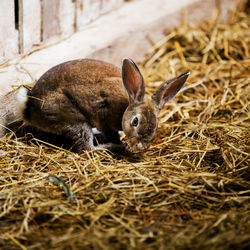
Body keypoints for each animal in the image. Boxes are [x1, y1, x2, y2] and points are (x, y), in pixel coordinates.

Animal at [15, 58, 189, 152]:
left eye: (156, 126)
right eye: (135, 121)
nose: (141, 146)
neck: (126, 105)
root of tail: (29, 110)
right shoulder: (104, 119)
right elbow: (110, 132)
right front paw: (120, 144)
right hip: (73, 119)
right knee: (87, 148)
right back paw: (109, 147)